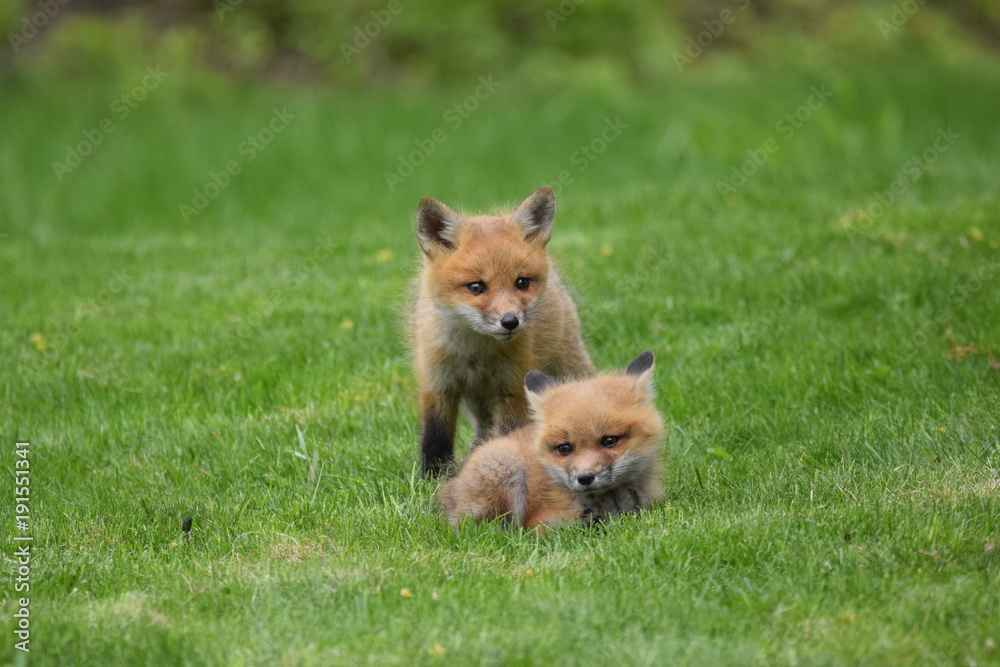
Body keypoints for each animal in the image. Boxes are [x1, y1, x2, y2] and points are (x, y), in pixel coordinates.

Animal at [413, 186, 595, 476]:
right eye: (476, 287)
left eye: (521, 283)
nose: (510, 321)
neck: (475, 352)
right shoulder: (438, 384)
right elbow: (435, 437)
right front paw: (433, 476)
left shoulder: (512, 388)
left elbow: (508, 435)